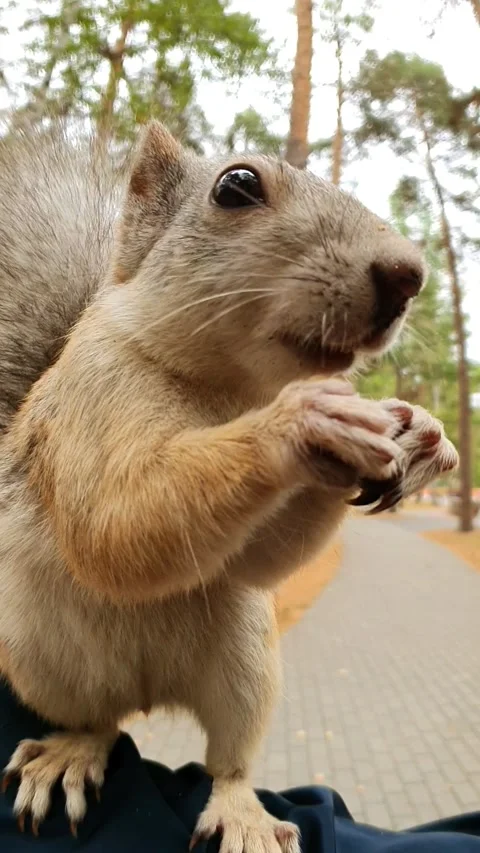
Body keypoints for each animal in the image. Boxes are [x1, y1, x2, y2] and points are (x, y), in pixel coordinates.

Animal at [0, 121, 458, 851]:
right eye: (236, 186)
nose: (408, 274)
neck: (228, 389)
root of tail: (149, 692)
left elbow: (257, 558)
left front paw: (420, 434)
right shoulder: (86, 407)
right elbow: (114, 528)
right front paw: (305, 418)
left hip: (246, 661)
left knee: (230, 761)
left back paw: (243, 812)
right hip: (44, 661)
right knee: (98, 721)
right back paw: (69, 752)